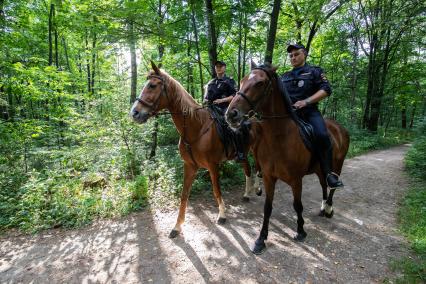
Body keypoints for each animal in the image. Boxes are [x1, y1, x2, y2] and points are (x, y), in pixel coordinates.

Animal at [130, 61, 260, 237]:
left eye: (152, 85)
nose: (134, 113)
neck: (196, 127)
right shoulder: (189, 166)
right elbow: (184, 195)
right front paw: (177, 226)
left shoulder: (213, 166)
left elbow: (216, 191)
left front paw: (222, 215)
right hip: (242, 154)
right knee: (247, 169)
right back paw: (247, 194)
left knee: (257, 168)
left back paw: (258, 189)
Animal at [226, 63, 350, 254]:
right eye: (242, 81)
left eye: (260, 83)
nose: (231, 114)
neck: (279, 137)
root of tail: (340, 128)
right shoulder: (269, 177)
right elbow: (267, 207)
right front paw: (261, 239)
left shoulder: (296, 180)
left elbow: (297, 205)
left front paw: (301, 231)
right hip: (320, 168)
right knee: (324, 184)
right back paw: (323, 208)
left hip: (337, 165)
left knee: (332, 186)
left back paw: (329, 208)